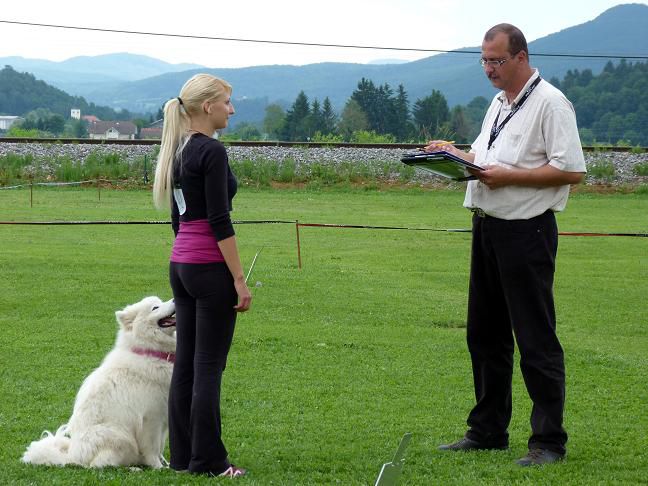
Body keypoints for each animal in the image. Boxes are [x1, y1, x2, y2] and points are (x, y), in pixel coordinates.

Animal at [22, 296, 176, 468]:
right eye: (155, 307)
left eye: (161, 301)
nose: (175, 299)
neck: (151, 352)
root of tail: (72, 457)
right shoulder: (151, 419)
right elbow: (152, 450)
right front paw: (158, 468)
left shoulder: (163, 419)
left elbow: (160, 447)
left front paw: (167, 465)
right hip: (121, 436)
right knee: (99, 465)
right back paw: (133, 469)